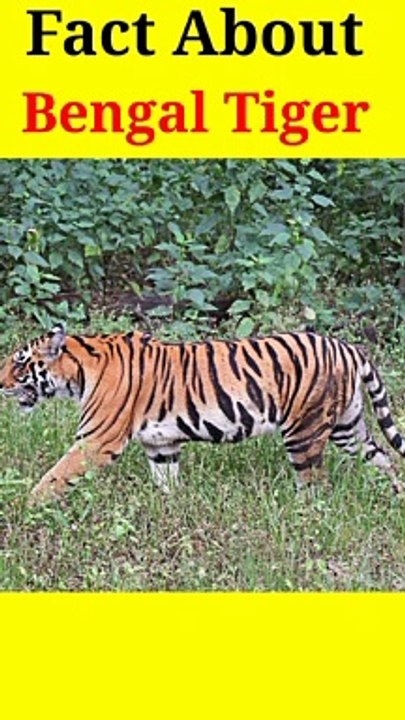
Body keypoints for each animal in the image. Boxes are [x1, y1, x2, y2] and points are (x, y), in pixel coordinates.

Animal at [0, 324, 404, 504]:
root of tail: (348, 347)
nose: (0, 382)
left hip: (305, 432)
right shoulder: (160, 445)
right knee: (384, 458)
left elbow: (54, 476)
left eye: (19, 362)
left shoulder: (96, 441)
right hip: (347, 427)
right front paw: (171, 510)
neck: (79, 373)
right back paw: (396, 496)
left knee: (315, 484)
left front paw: (25, 507)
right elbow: (167, 482)